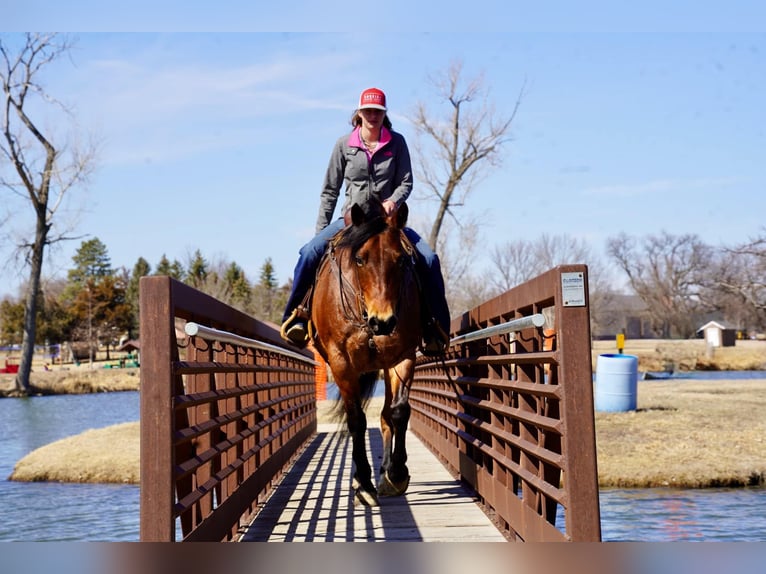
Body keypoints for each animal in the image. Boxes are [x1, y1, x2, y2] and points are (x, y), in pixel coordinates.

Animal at [308, 202, 424, 508]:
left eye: (401, 259)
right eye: (360, 259)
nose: (382, 321)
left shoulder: (403, 356)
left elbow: (398, 412)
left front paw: (397, 473)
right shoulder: (341, 363)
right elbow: (356, 420)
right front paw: (362, 481)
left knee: (384, 416)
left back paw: (385, 473)